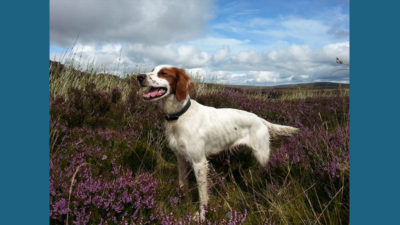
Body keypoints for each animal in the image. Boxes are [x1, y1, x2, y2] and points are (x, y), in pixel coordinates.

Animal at [137, 65, 296, 220]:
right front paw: (182, 202)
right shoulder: (180, 158)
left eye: (163, 73)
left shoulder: (199, 162)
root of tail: (259, 119)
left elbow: (202, 195)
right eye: (152, 70)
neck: (180, 115)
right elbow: (183, 184)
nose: (139, 77)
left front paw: (201, 215)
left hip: (262, 155)